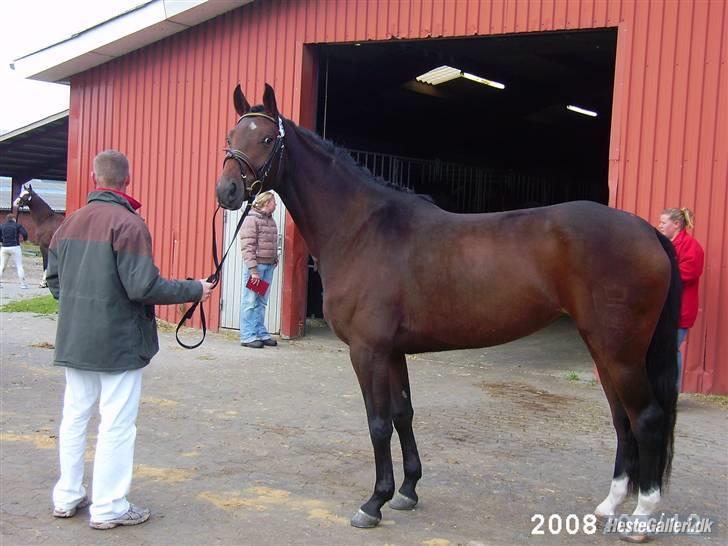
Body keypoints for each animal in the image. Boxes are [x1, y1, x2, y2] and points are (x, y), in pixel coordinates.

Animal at [213, 85, 680, 536]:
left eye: (267, 139)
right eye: (231, 137)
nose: (227, 192)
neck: (362, 229)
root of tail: (648, 231)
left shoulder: (368, 351)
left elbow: (378, 422)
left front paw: (374, 502)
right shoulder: (393, 352)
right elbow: (402, 414)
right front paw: (407, 491)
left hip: (620, 353)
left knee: (647, 418)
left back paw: (642, 516)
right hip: (604, 350)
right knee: (622, 419)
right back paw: (610, 505)